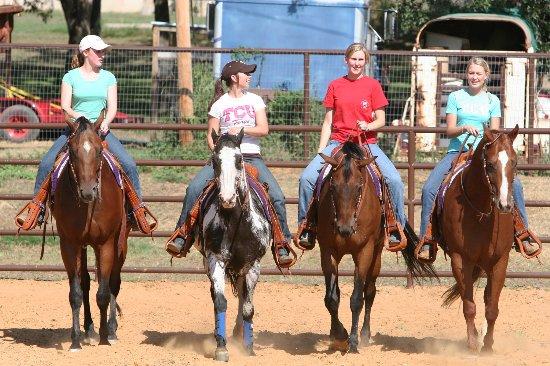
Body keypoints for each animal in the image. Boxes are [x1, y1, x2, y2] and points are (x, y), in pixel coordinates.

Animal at [52, 117, 129, 352]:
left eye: (98, 150)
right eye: (72, 150)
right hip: (84, 246)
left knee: (114, 282)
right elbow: (75, 294)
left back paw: (111, 330)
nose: (88, 192)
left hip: (120, 245)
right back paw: (89, 329)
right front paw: (75, 340)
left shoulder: (106, 243)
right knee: (85, 282)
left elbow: (103, 293)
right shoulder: (69, 244)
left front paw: (105, 338)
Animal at [202, 130, 272, 362]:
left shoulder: (253, 265)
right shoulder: (215, 260)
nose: (227, 198)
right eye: (214, 160)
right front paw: (221, 348)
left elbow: (248, 307)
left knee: (242, 296)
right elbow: (220, 302)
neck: (237, 224)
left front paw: (248, 348)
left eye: (239, 159)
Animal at [320, 142, 436, 354]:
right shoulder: (328, 251)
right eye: (332, 186)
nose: (344, 228)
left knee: (370, 292)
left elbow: (357, 299)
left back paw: (365, 335)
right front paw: (338, 335)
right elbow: (332, 298)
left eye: (359, 187)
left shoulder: (364, 251)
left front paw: (353, 342)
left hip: (376, 256)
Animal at [440, 125, 520, 352]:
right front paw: (473, 342)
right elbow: (469, 306)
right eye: (490, 165)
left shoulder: (500, 260)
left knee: (487, 297)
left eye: (514, 161)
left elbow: (492, 307)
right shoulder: (460, 259)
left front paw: (488, 346)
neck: (481, 211)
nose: (505, 205)